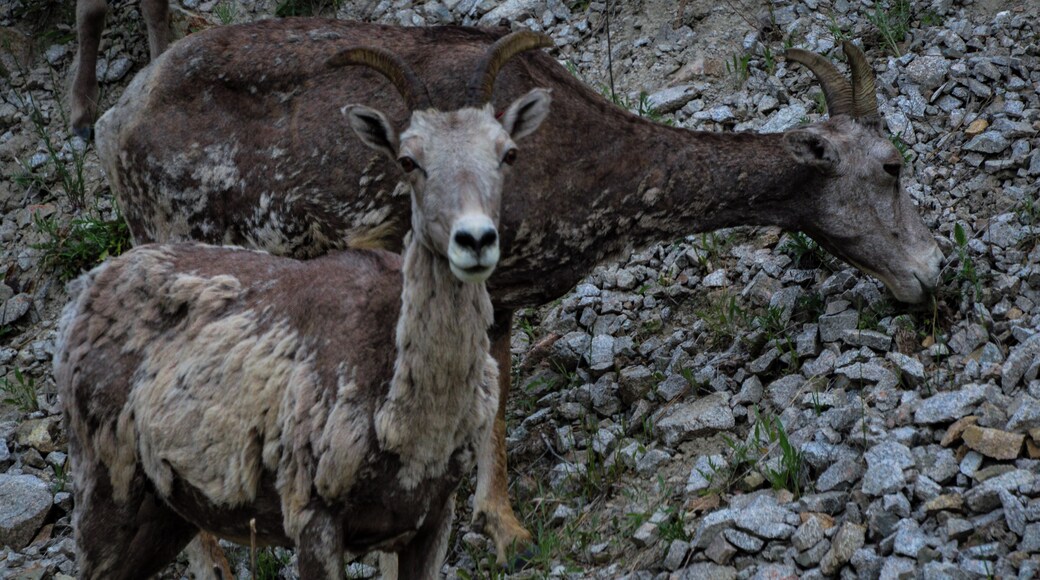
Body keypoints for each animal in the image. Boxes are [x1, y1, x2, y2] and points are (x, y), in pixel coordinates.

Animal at [54, 32, 553, 579]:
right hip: (107, 496)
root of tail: (87, 294)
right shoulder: (313, 521)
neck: (403, 420)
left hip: (165, 517)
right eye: (408, 160)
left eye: (507, 153)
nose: (475, 240)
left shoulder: (429, 520)